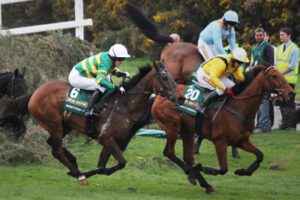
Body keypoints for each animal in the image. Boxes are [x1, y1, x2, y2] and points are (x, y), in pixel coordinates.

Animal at [0, 61, 182, 185]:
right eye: (164, 77)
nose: (179, 97)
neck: (124, 106)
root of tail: (35, 93)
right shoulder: (106, 138)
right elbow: (121, 162)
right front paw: (85, 174)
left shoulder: (110, 141)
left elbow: (103, 166)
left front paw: (94, 171)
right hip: (54, 123)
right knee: (56, 149)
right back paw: (77, 173)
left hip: (65, 125)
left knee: (52, 143)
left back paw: (74, 166)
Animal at [151, 63, 294, 192]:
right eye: (274, 76)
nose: (291, 93)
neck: (238, 107)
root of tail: (160, 95)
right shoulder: (220, 141)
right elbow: (223, 169)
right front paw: (201, 168)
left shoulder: (241, 141)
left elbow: (260, 155)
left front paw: (242, 171)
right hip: (173, 127)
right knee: (170, 152)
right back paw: (192, 173)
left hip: (187, 130)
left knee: (188, 157)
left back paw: (204, 184)